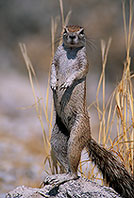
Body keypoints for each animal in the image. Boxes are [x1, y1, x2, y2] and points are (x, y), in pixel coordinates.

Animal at [45, 25, 133, 198]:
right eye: (65, 30)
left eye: (82, 31)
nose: (72, 36)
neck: (71, 50)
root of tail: (88, 136)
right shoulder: (55, 57)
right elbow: (52, 68)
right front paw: (53, 83)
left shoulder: (84, 63)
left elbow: (79, 72)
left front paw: (67, 83)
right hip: (57, 138)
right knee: (68, 164)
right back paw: (59, 176)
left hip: (76, 135)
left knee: (75, 173)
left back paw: (64, 178)